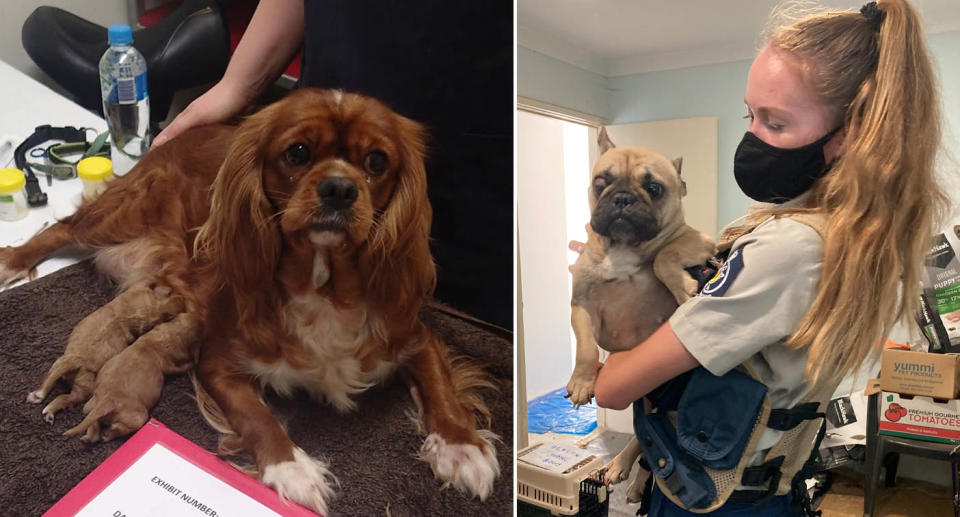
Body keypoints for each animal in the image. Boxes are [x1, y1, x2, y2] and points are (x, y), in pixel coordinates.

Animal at [568, 128, 716, 500]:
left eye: (654, 188)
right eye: (601, 181)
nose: (622, 198)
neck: (623, 247)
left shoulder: (697, 239)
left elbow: (664, 254)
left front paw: (682, 287)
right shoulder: (581, 305)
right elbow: (586, 347)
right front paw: (582, 381)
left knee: (646, 436)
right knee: (644, 433)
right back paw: (626, 471)